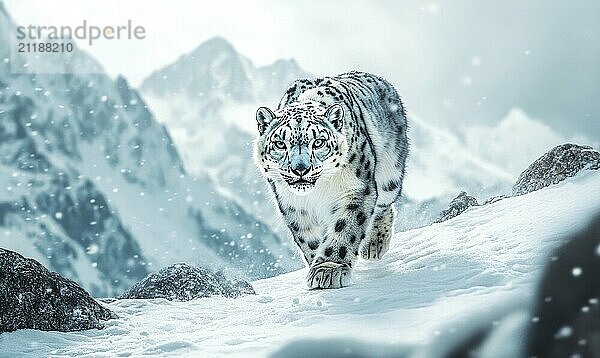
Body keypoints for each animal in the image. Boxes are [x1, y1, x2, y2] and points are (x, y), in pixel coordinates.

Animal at [253, 71, 408, 290]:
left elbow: (345, 228)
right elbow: (308, 239)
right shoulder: (293, 205)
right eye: (280, 144)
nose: (300, 169)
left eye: (318, 142)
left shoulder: (356, 190)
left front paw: (328, 270)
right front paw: (316, 266)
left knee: (384, 204)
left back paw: (375, 243)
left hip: (390, 176)